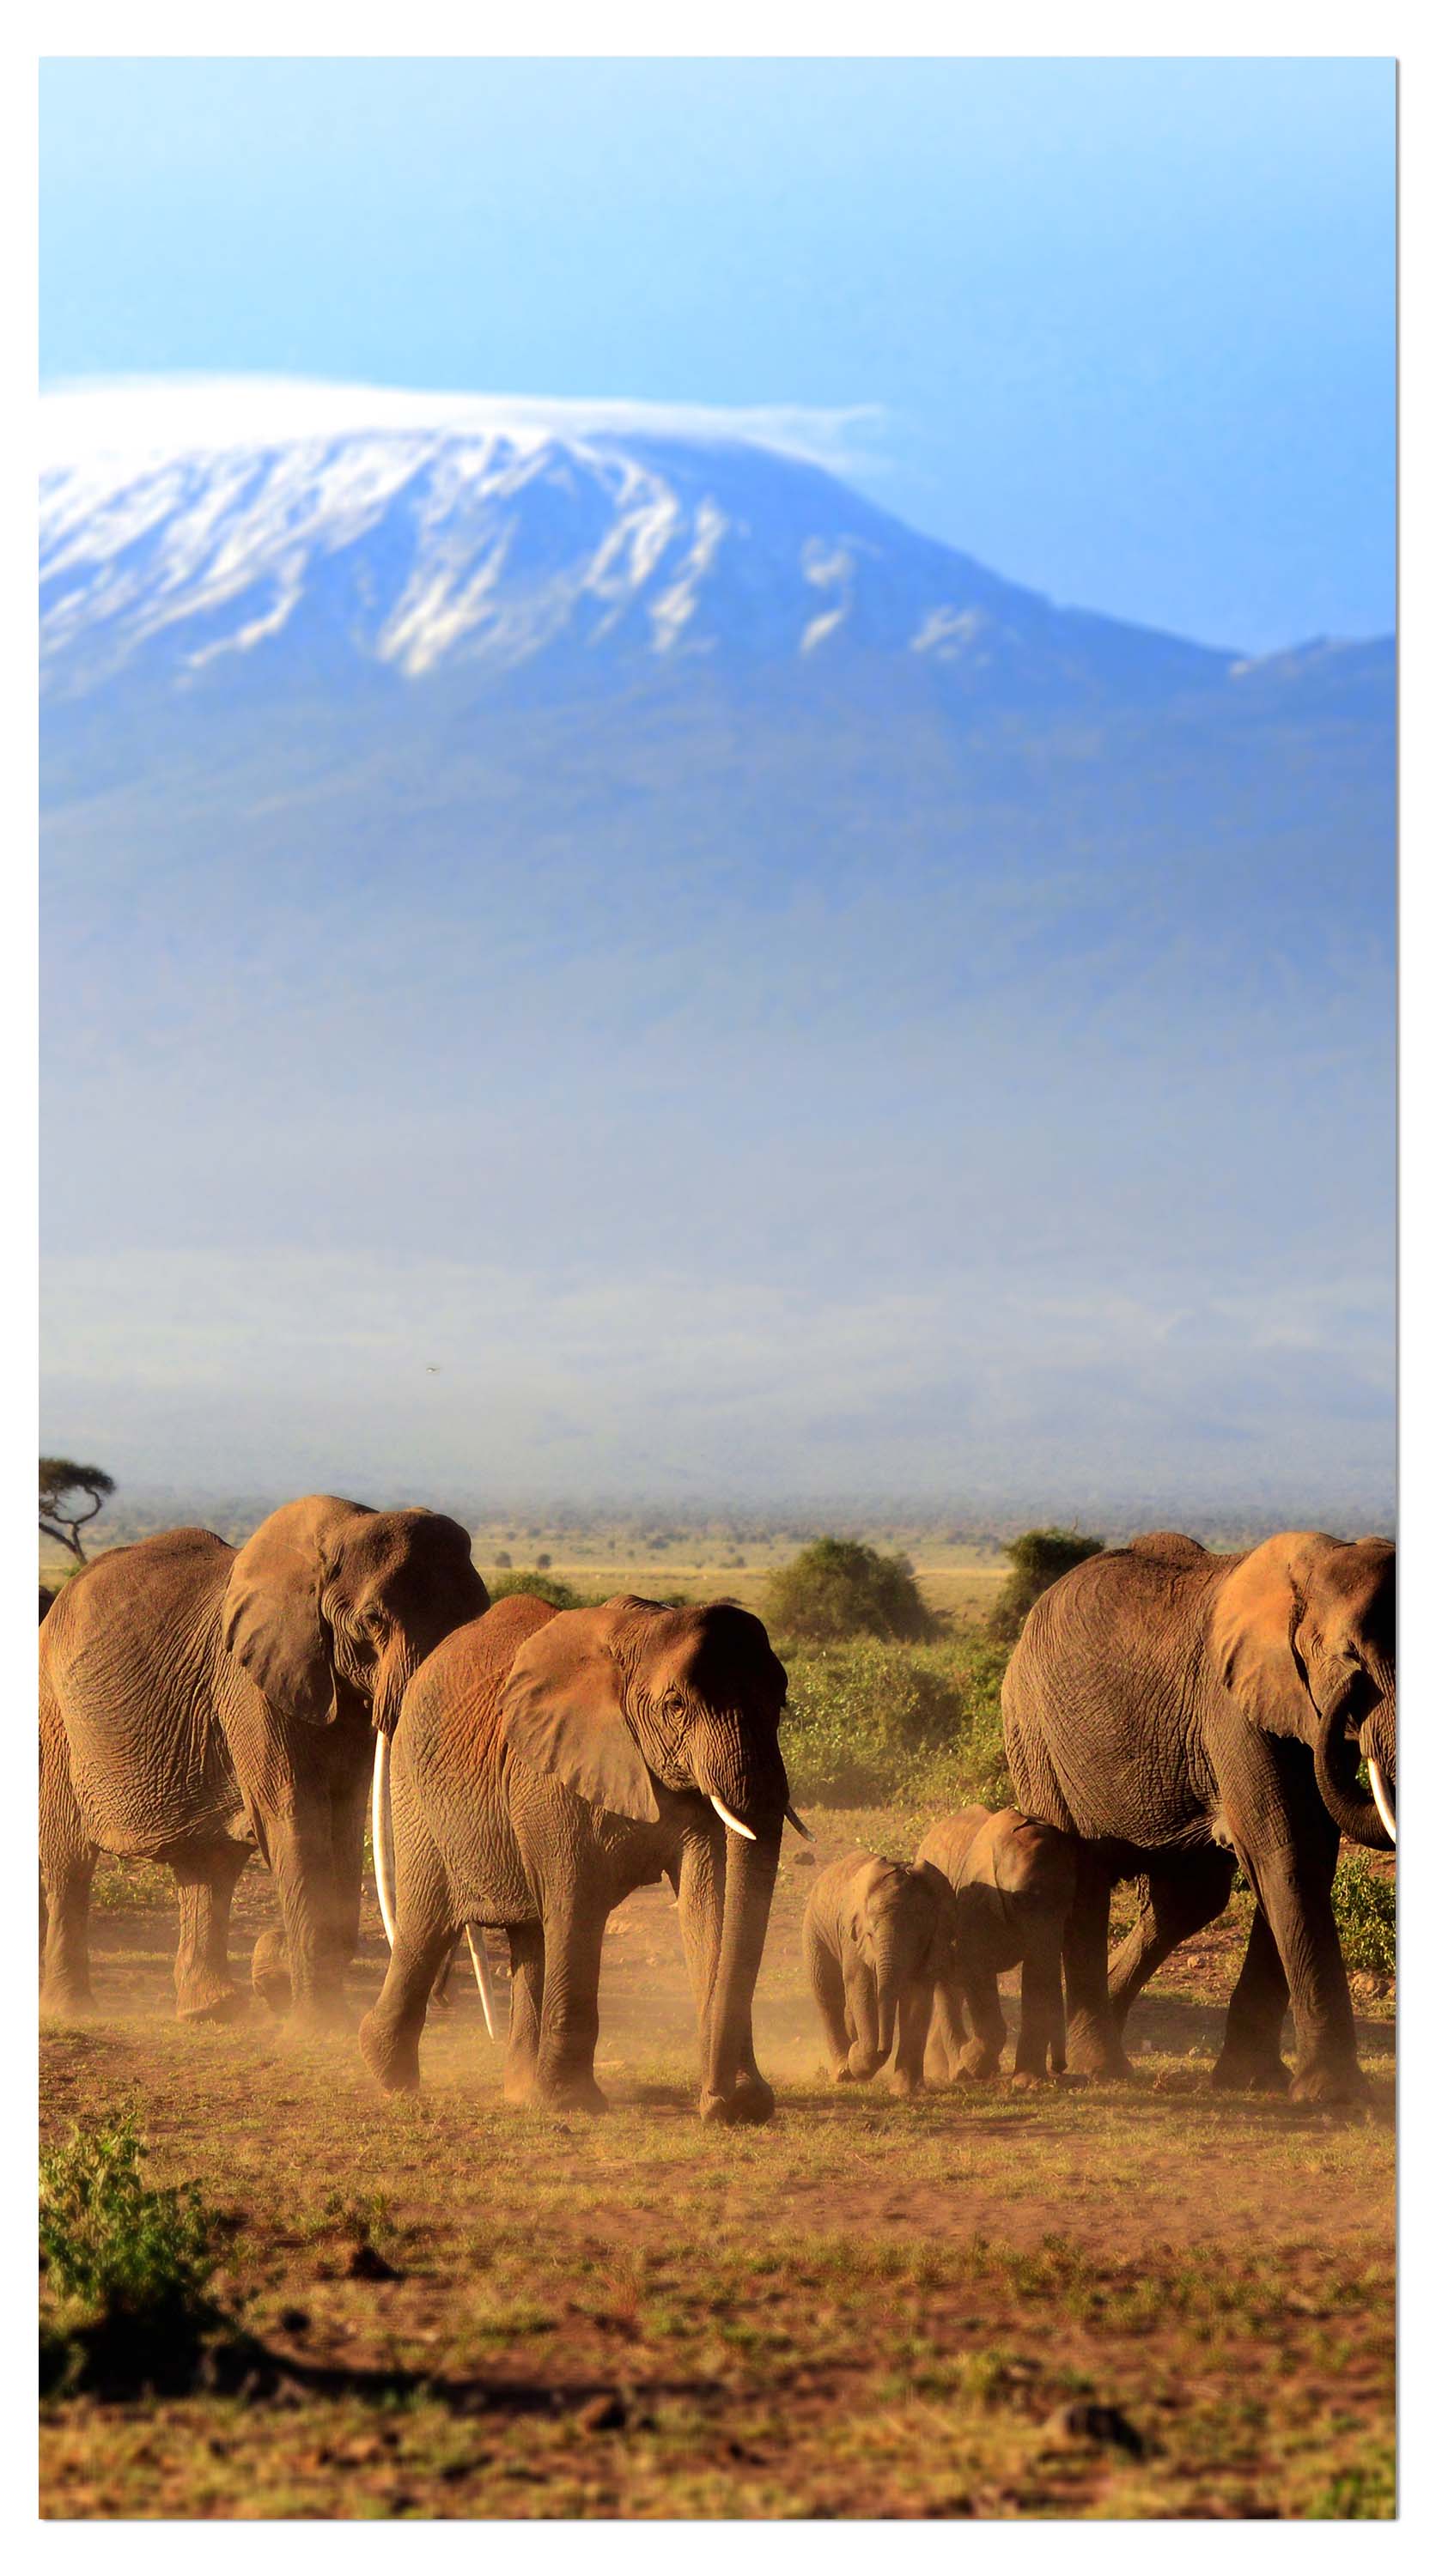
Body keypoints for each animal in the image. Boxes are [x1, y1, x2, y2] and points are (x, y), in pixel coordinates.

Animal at [38, 1494, 487, 2030]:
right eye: (373, 1621)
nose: (445, 2001)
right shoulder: (250, 1684)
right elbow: (295, 1815)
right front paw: (317, 2026)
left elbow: (345, 1816)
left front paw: (275, 1971)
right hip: (54, 1711)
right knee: (70, 1860)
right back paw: (73, 2009)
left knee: (208, 1865)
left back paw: (210, 2011)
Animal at [358, 1597, 799, 2123]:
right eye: (675, 1706)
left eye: (781, 1703)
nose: (716, 2102)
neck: (641, 1635)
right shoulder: (551, 1777)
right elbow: (577, 1903)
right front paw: (572, 2102)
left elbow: (708, 1901)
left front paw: (744, 2102)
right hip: (415, 1793)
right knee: (427, 1924)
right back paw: (391, 2077)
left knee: (529, 1932)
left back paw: (519, 2090)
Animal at [799, 1855, 958, 2092]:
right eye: (871, 1935)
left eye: (918, 1938)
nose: (883, 2049)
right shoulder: (852, 1939)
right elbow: (861, 1988)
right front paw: (856, 2055)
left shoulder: (934, 1940)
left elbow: (917, 1996)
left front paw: (906, 2091)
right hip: (815, 1929)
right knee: (828, 1993)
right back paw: (843, 2072)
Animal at [917, 1803, 1072, 2081]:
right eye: (1021, 1899)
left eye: (1070, 1901)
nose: (1060, 2067)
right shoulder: (972, 1900)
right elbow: (976, 1968)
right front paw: (974, 2065)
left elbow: (1037, 1973)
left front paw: (1029, 2082)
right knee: (948, 1982)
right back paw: (958, 2069)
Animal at [995, 1525, 1391, 2092]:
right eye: (1350, 1654)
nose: (1353, 1691)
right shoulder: (1229, 1709)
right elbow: (1285, 1854)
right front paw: (1331, 2094)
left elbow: (1304, 1857)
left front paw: (1252, 2080)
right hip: (1036, 1738)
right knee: (1082, 1885)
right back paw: (1102, 2066)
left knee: (1189, 1897)